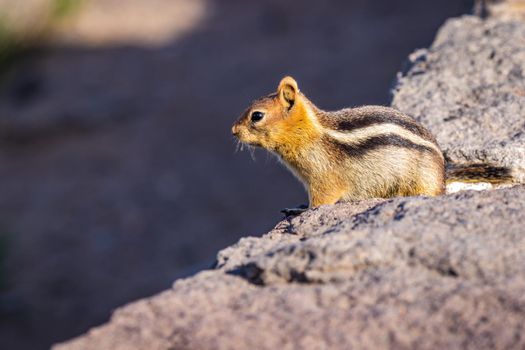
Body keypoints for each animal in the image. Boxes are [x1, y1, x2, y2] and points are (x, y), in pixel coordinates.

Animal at [231, 77, 512, 213]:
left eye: (256, 116)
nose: (233, 131)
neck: (311, 133)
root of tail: (443, 173)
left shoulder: (323, 179)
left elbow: (320, 202)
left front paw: (298, 211)